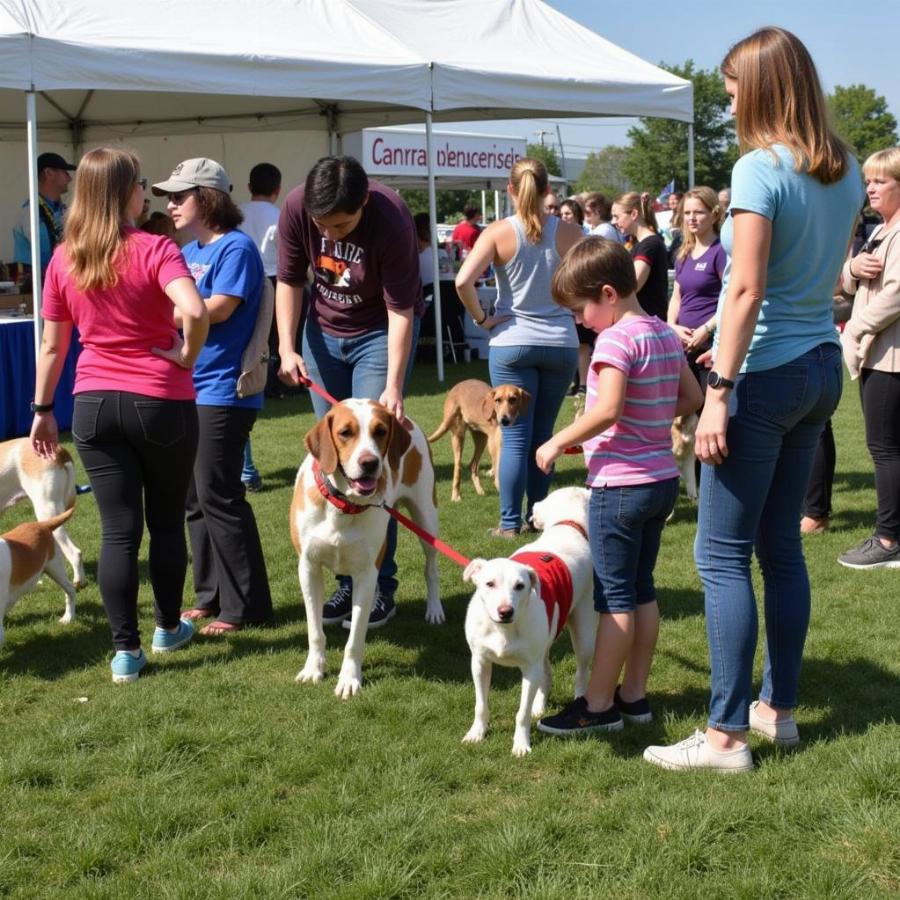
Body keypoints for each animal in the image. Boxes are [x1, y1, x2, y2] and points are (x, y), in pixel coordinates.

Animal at [290, 398, 442, 700]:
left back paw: (434, 609)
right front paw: (313, 669)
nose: (369, 463)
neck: (343, 506)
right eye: (345, 432)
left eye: (380, 431)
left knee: (431, 568)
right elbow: (314, 630)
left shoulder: (367, 574)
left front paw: (349, 679)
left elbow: (355, 638)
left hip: (426, 519)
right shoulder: (308, 568)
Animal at [464, 488, 596, 756]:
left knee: (581, 671)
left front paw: (521, 743)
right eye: (489, 583)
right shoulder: (479, 662)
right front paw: (477, 733)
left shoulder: (529, 668)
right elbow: (481, 704)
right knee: (547, 672)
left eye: (520, 586)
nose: (505, 611)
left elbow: (521, 713)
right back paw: (540, 705)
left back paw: (577, 700)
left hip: (583, 630)